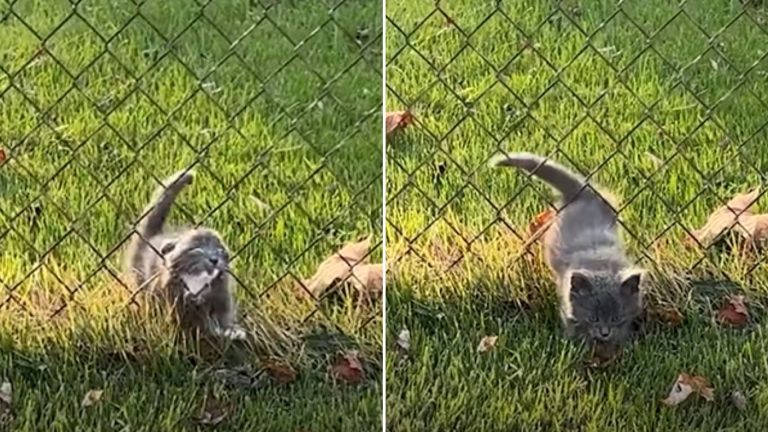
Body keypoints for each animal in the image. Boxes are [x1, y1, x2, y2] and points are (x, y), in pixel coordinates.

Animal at [125, 169, 246, 340]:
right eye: (196, 248)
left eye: (219, 249)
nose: (214, 259)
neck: (197, 282)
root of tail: (153, 236)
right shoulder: (168, 292)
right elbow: (175, 317)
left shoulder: (221, 295)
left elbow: (224, 315)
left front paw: (230, 331)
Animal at [488, 152, 644, 348]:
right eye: (593, 318)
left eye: (616, 318)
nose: (605, 332)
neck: (600, 262)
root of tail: (583, 192)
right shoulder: (565, 293)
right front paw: (574, 342)